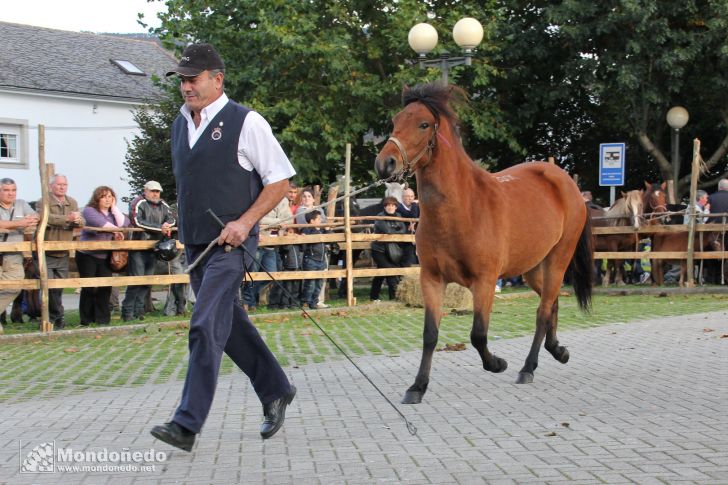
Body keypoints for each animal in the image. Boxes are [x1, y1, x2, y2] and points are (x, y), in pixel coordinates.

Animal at [372, 81, 596, 402]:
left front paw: (498, 363)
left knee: (542, 311)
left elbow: (478, 334)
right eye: (395, 121)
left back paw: (527, 368)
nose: (385, 164)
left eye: (423, 124)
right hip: (532, 267)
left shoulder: (485, 281)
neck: (463, 208)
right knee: (550, 302)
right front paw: (417, 387)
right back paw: (557, 351)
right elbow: (430, 334)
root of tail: (564, 181)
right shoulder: (431, 279)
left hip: (558, 260)